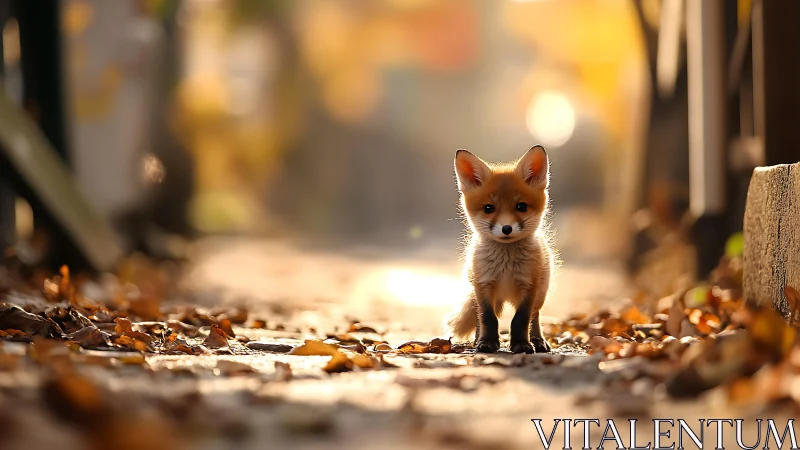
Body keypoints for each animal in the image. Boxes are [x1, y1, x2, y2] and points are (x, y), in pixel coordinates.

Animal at [447, 145, 555, 353]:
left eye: (521, 206)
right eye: (489, 208)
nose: (506, 228)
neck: (506, 266)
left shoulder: (529, 286)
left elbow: (521, 319)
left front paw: (522, 344)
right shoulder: (483, 285)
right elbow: (487, 318)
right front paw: (487, 342)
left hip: (541, 293)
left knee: (536, 316)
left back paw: (538, 340)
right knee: (478, 316)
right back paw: (477, 340)